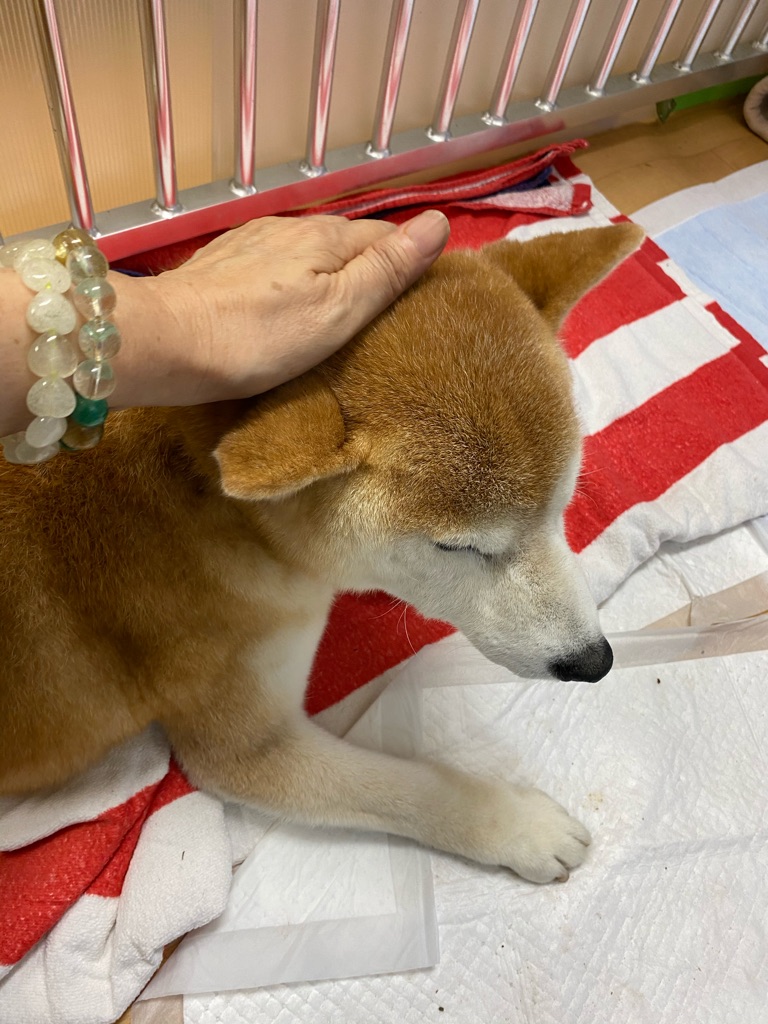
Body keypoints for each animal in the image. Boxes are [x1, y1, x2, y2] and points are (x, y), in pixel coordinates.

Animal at [0, 222, 642, 884]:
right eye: (455, 546)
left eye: (564, 503)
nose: (594, 661)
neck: (208, 497)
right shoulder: (248, 750)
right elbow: (409, 787)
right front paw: (517, 825)